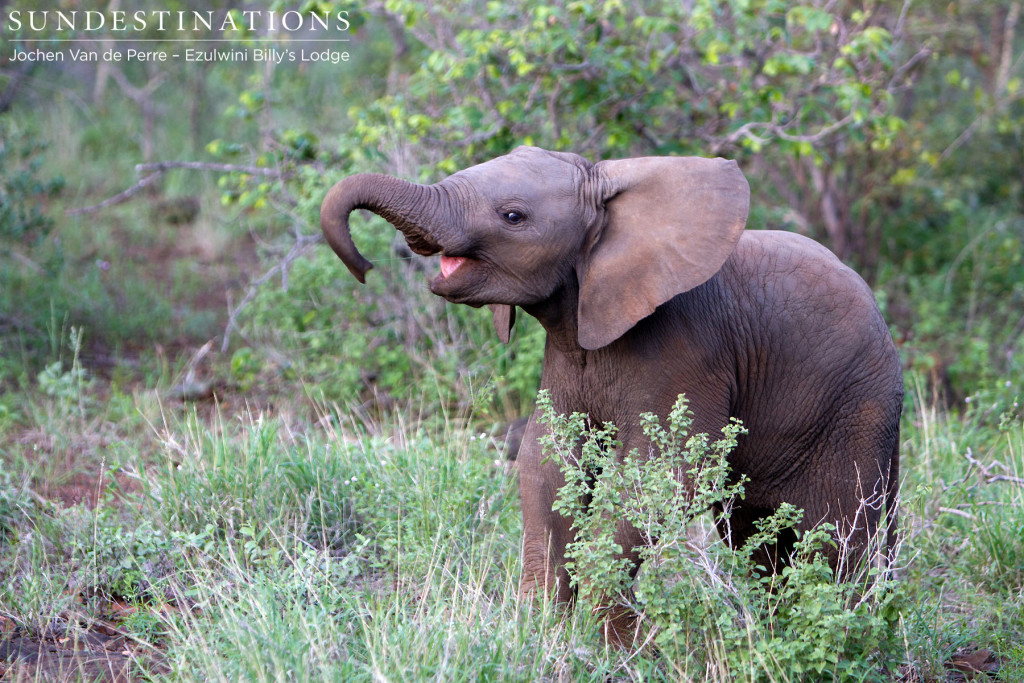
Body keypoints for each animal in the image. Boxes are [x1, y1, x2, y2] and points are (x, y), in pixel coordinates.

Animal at [319, 148, 905, 634]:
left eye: (513, 216)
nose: (367, 266)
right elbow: (545, 464)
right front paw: (539, 631)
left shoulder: (688, 348)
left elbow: (658, 474)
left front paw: (609, 643)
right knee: (755, 534)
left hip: (856, 409)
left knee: (838, 536)